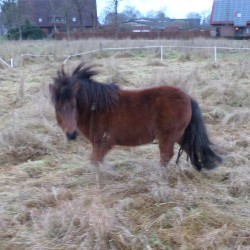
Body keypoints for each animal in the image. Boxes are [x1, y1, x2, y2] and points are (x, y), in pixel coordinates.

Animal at [49, 63, 223, 171]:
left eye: (74, 105)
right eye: (57, 108)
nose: (71, 134)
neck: (96, 108)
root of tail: (188, 98)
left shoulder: (102, 143)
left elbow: (96, 162)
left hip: (168, 137)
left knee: (166, 156)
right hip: (180, 135)